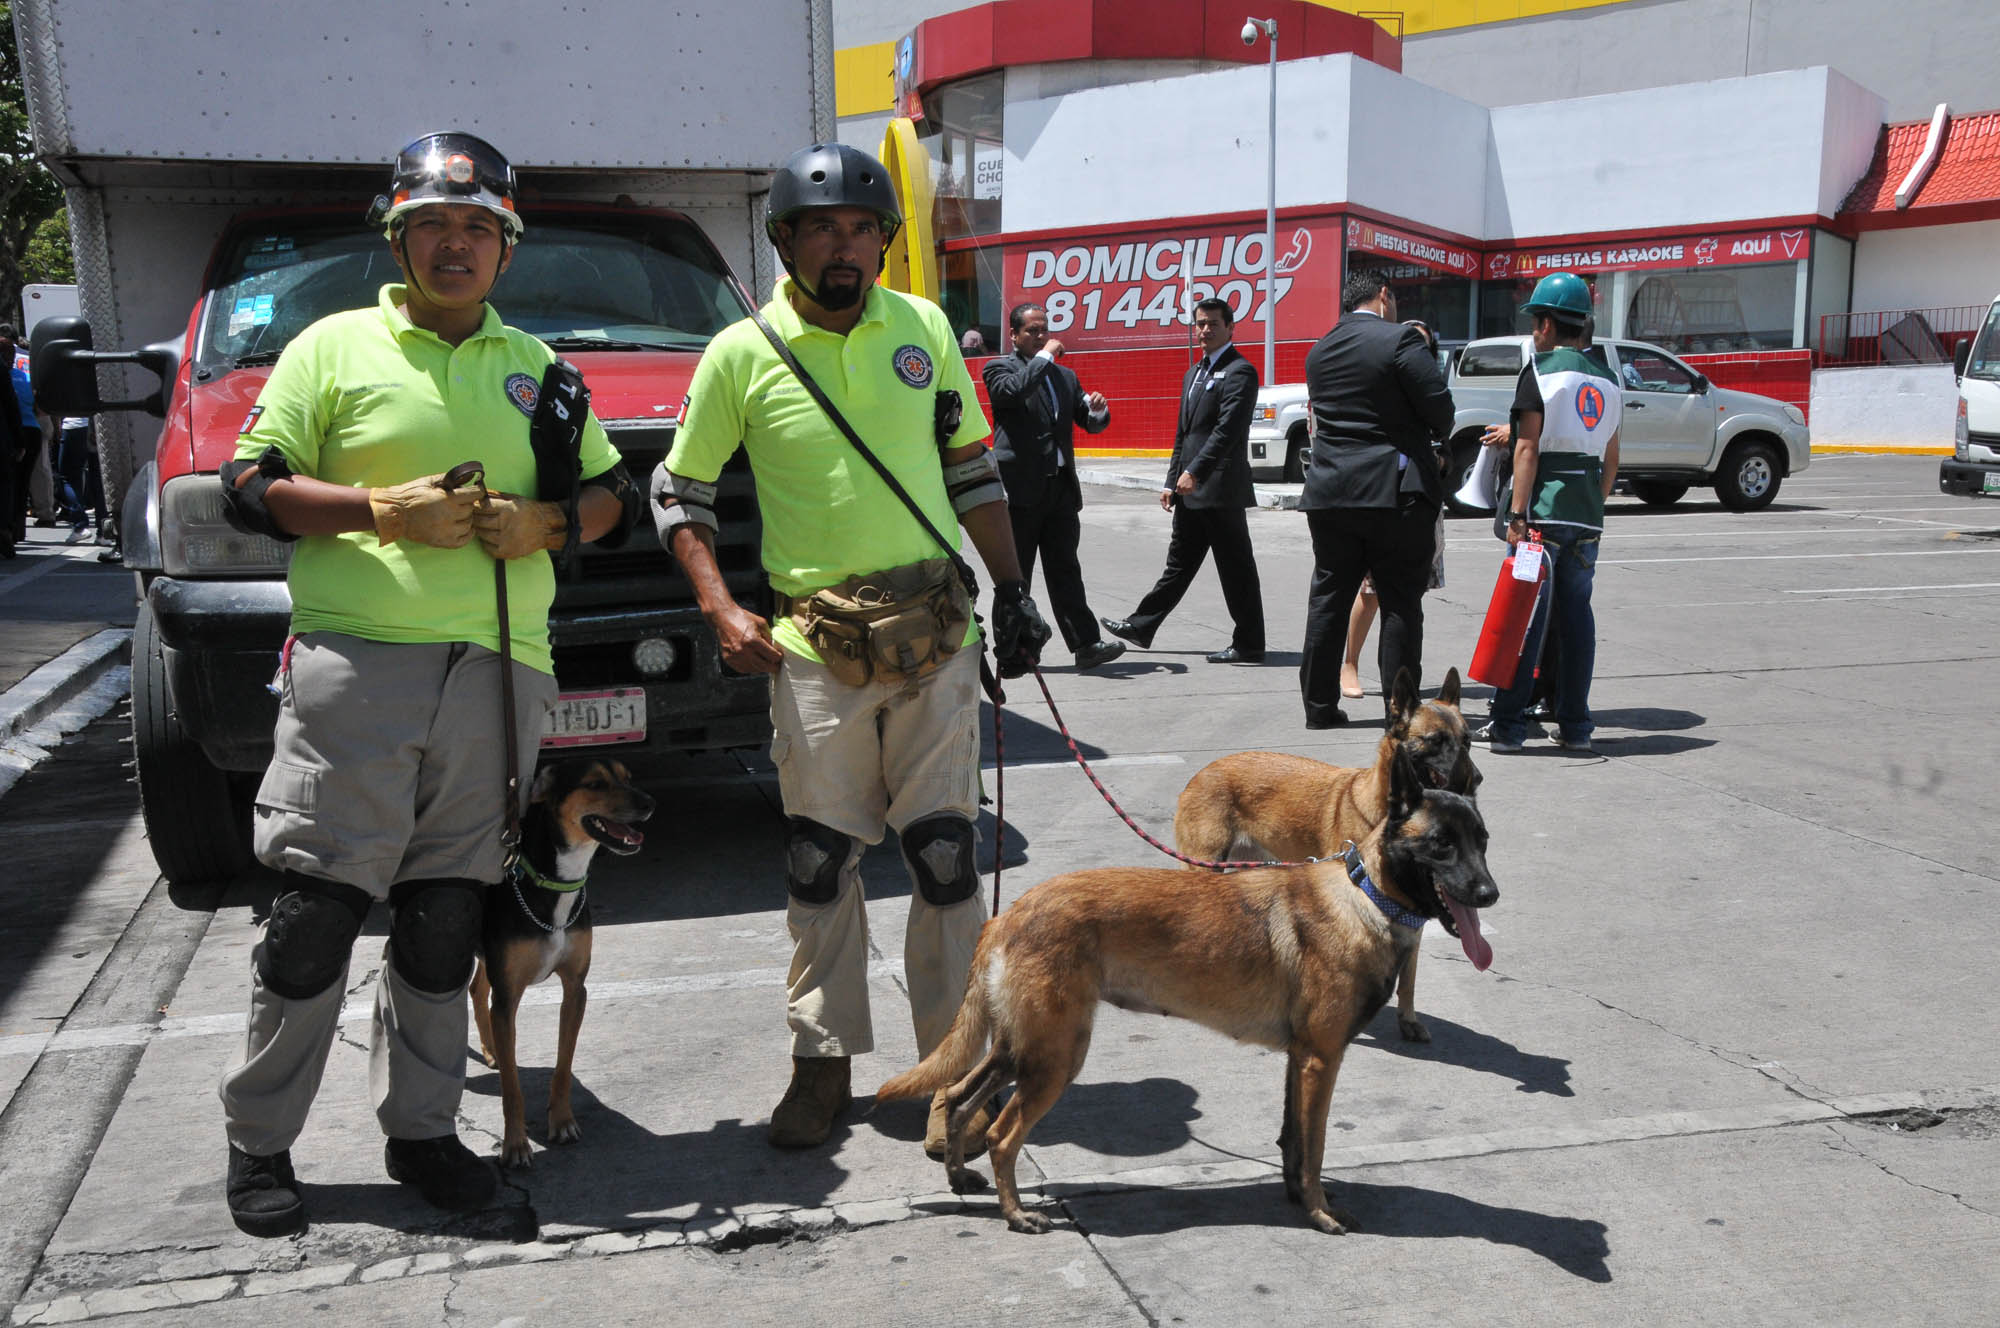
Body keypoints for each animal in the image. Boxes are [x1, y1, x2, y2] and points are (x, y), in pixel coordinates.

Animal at [470, 764, 652, 1168]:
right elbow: (512, 1089)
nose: (649, 802)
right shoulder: (508, 999)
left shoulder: (575, 988)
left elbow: (563, 1067)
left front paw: (563, 1122)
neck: (557, 883)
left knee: (476, 989)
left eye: (628, 776)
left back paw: (490, 1051)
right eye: (595, 783)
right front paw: (515, 1144)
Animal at [880, 748, 1504, 1232]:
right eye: (1441, 844)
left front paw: (1297, 1200)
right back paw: (1016, 1214)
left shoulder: (1300, 1060)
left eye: (1483, 840)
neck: (1365, 896)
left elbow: (1293, 1140)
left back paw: (960, 1177)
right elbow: (1316, 1146)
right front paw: (1321, 1212)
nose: (1489, 894)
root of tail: (1008, 914)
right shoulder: (1321, 1062)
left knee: (960, 1096)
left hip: (1021, 1048)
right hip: (1056, 1056)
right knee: (1003, 1134)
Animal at [1168, 668, 1488, 1040]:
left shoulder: (1414, 917)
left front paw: (1407, 1021)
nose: (1476, 778)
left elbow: (1408, 980)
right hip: (1206, 866)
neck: (1384, 816)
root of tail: (1203, 772)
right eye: (1435, 740)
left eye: (1467, 740)